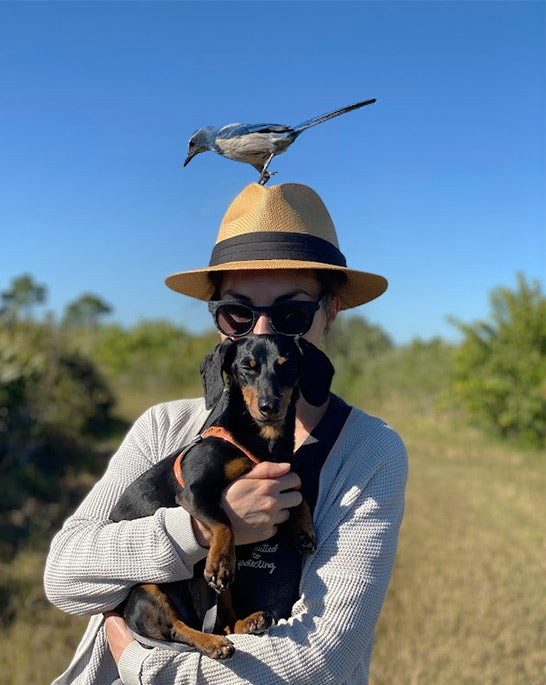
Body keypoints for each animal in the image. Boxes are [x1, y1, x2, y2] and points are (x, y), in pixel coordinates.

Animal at [109, 334, 332, 660]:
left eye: (287, 365)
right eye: (247, 367)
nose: (269, 406)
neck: (261, 441)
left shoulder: (282, 476)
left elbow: (298, 494)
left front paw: (304, 530)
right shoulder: (194, 491)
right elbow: (223, 520)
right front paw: (221, 561)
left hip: (216, 593)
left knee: (223, 622)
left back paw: (249, 622)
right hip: (149, 589)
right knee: (180, 628)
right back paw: (213, 643)